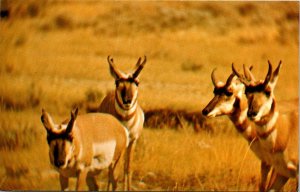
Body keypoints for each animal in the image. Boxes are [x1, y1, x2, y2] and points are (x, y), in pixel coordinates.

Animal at [98, 55, 146, 190]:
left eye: (137, 82)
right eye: (117, 82)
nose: (127, 101)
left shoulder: (133, 141)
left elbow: (127, 168)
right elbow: (113, 170)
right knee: (110, 167)